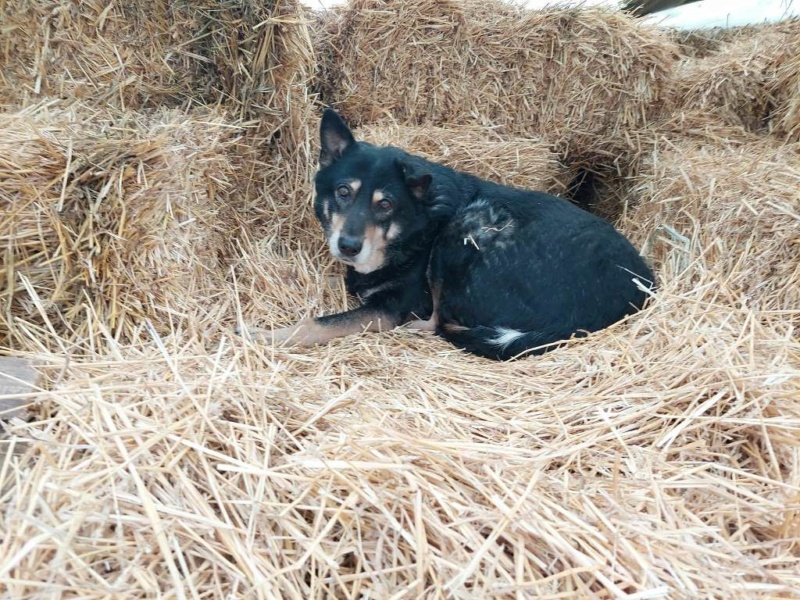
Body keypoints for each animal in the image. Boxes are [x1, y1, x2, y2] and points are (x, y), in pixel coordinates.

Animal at [239, 109, 656, 358]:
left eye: (385, 204)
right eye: (344, 192)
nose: (349, 247)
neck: (412, 229)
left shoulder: (392, 306)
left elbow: (318, 324)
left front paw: (264, 336)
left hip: (467, 228)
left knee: (437, 323)